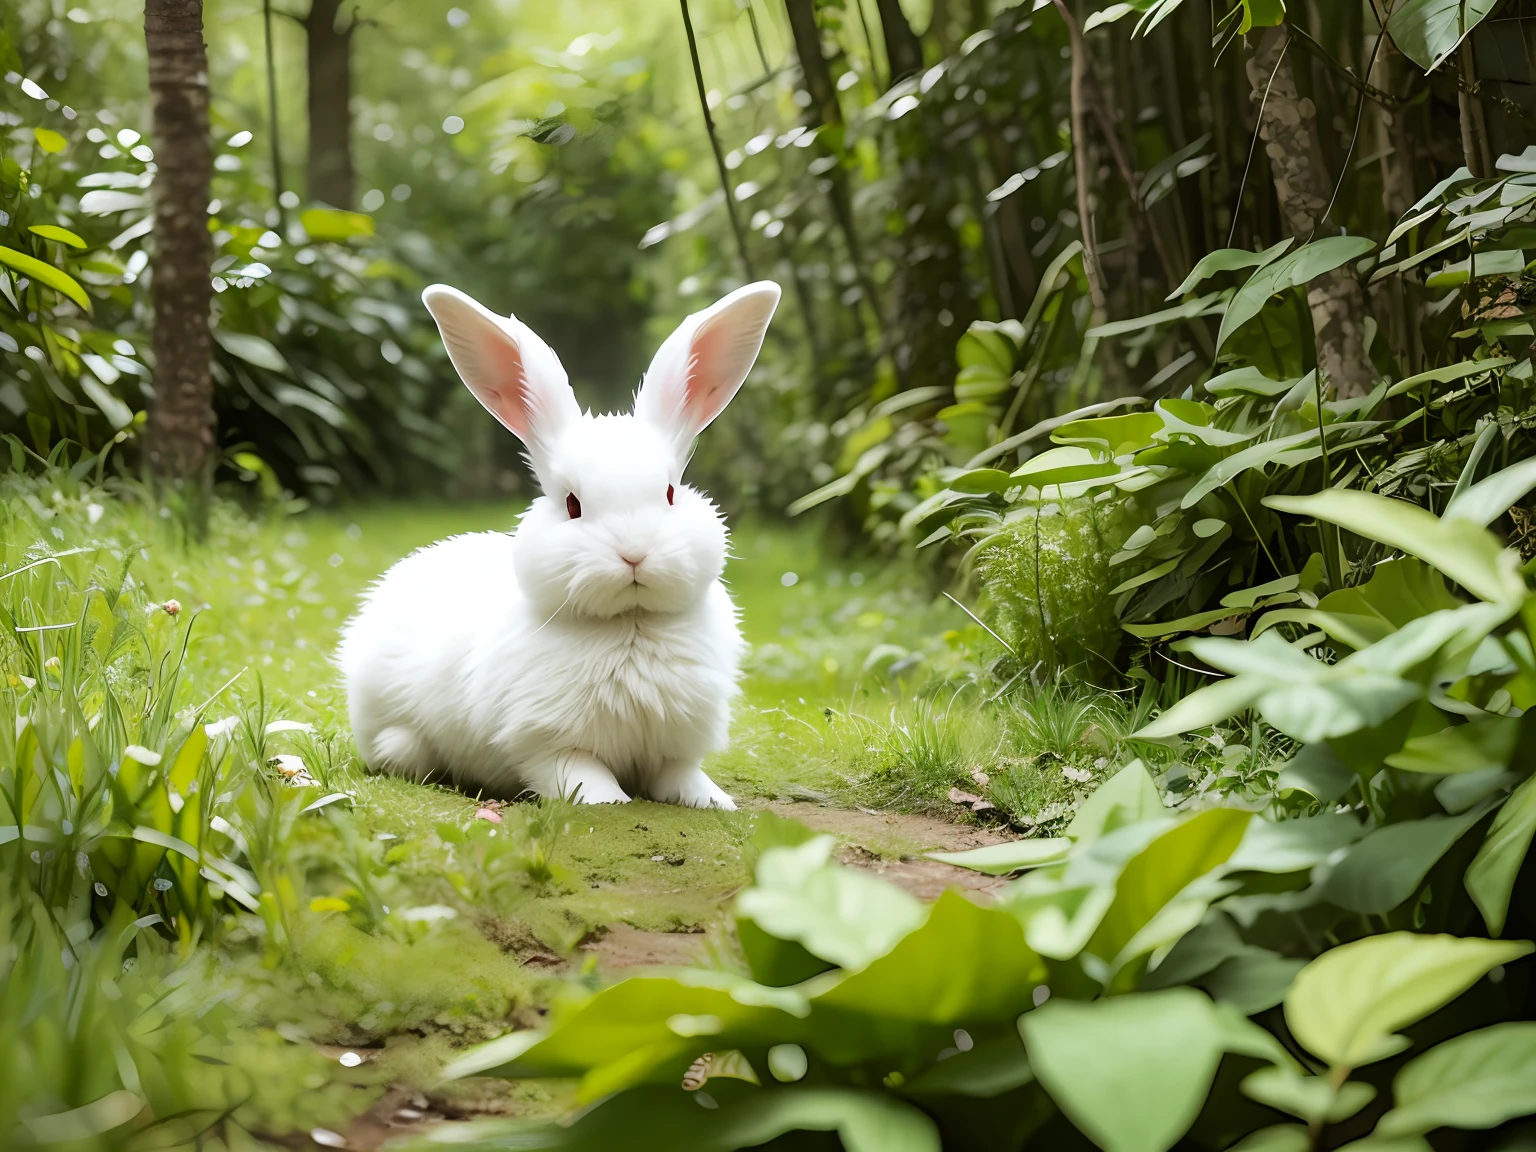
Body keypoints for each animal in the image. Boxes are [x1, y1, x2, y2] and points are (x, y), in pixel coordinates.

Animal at [336, 281, 780, 811]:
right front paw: (609, 801)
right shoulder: (546, 743)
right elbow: (577, 772)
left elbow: (681, 774)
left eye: (672, 493)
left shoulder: (674, 745)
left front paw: (714, 801)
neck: (631, 622)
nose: (634, 553)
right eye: (572, 504)